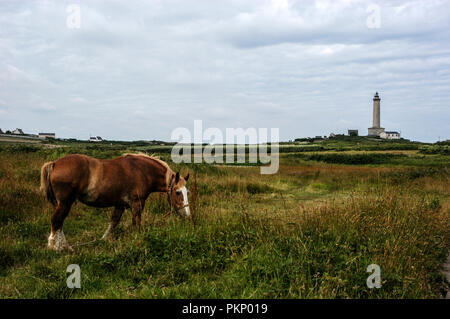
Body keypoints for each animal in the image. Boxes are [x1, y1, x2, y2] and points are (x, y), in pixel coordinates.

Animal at [40, 154, 190, 251]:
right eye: (178, 192)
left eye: (187, 192)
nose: (187, 215)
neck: (142, 170)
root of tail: (54, 163)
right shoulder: (137, 204)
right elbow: (136, 223)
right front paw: (137, 239)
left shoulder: (120, 205)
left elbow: (114, 222)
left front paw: (104, 240)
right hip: (65, 203)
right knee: (57, 221)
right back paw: (56, 247)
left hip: (61, 204)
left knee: (59, 223)